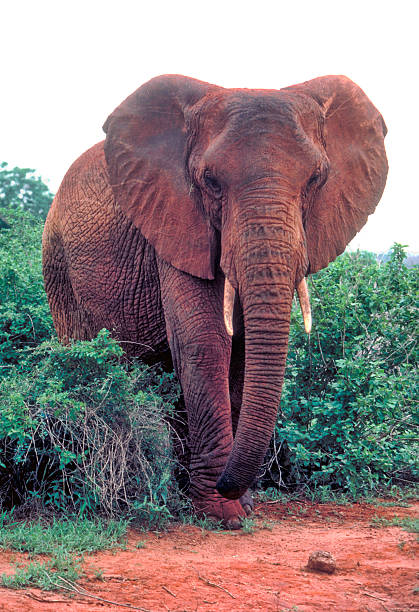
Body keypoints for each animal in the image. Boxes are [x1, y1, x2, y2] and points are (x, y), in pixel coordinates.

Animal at [41, 74, 388, 528]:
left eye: (316, 180)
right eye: (211, 182)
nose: (232, 485)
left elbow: (241, 354)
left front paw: (239, 504)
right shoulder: (176, 222)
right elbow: (206, 342)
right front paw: (225, 514)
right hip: (58, 264)